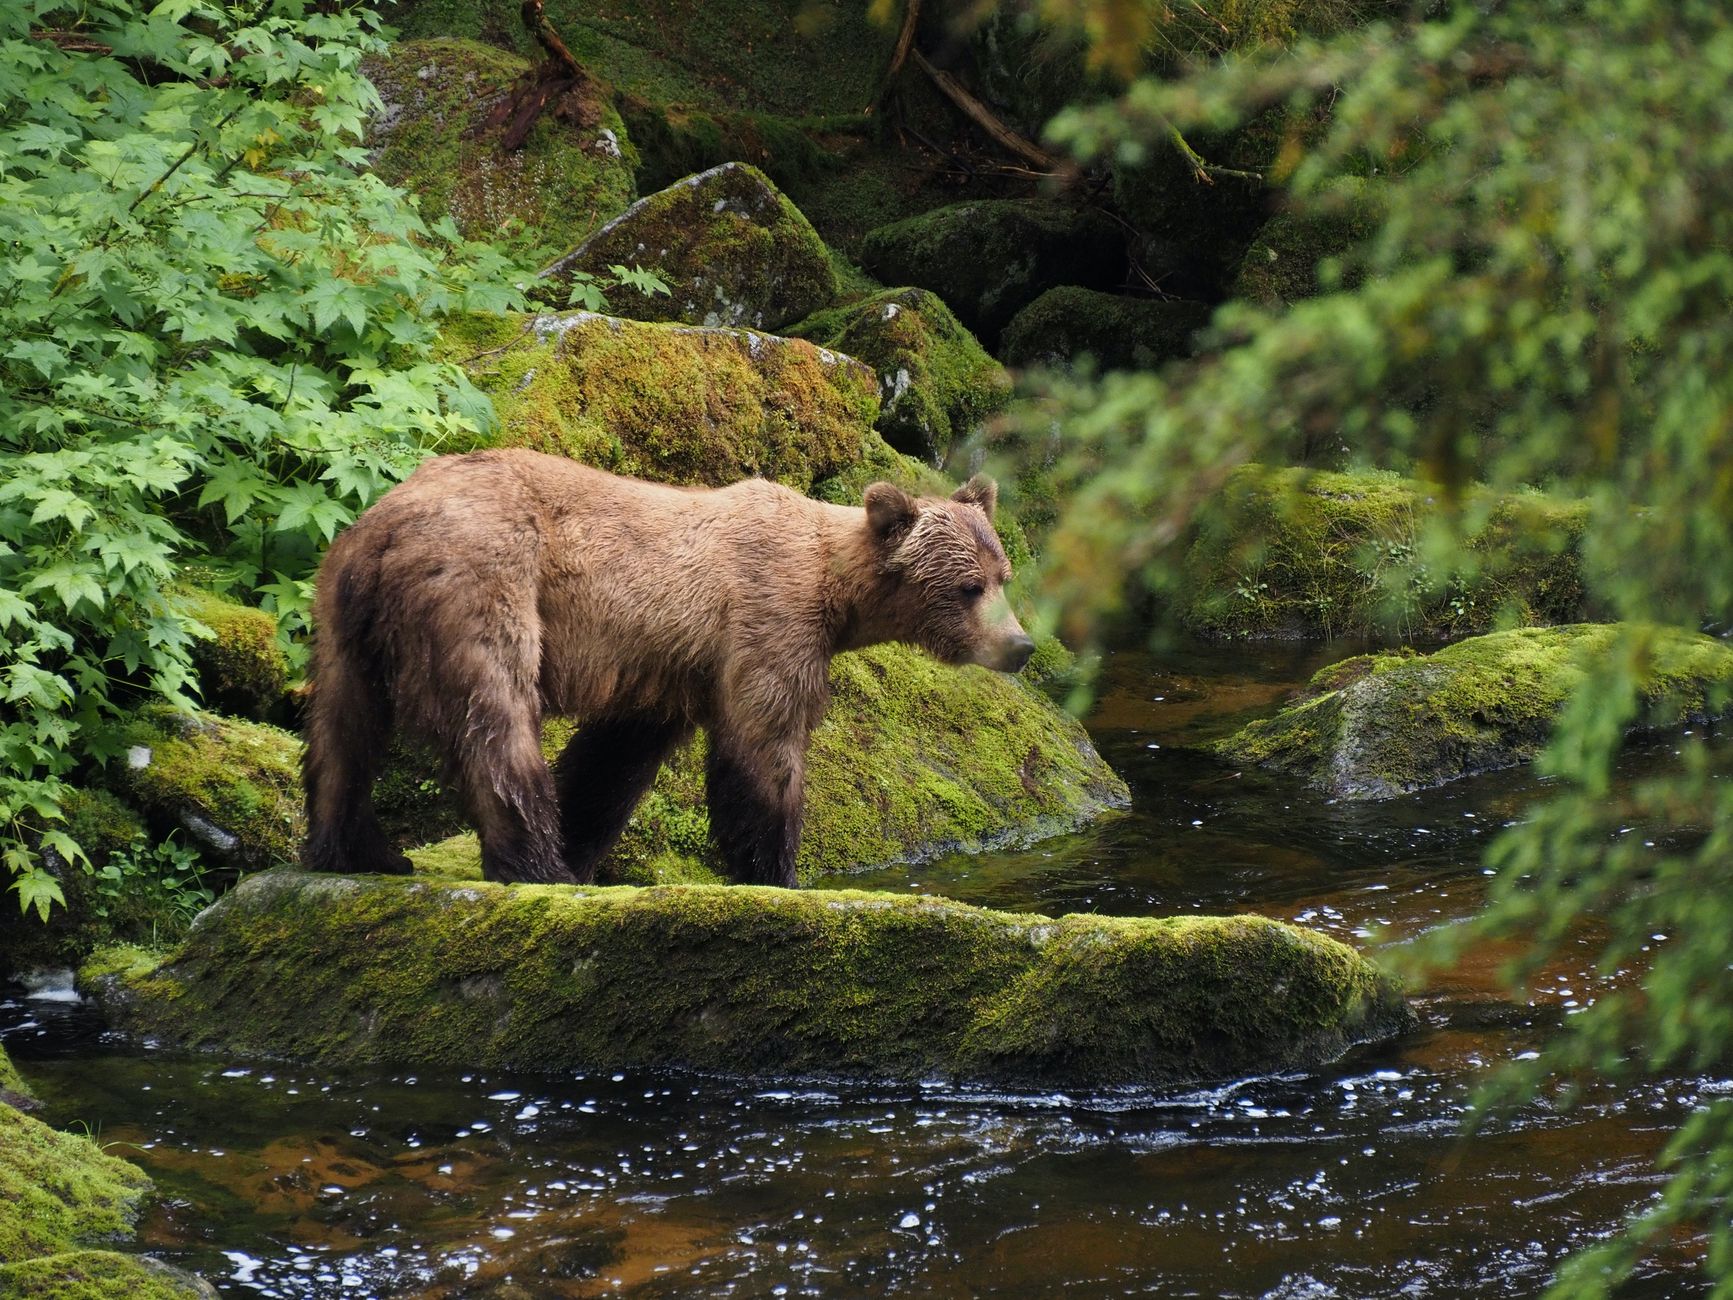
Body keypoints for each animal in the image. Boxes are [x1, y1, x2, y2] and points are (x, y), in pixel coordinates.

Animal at [301, 448, 1034, 888]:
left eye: (1002, 575)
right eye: (967, 588)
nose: (1021, 646)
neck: (834, 590)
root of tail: (386, 526)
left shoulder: (666, 667)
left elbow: (612, 760)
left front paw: (584, 839)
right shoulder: (766, 620)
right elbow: (764, 744)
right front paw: (776, 869)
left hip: (343, 613)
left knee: (341, 731)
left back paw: (356, 849)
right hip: (485, 579)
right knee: (496, 718)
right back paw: (536, 864)